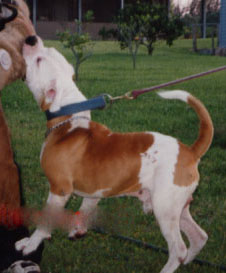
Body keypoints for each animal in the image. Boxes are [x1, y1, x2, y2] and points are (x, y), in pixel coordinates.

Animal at [15, 36, 214, 272]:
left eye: (38, 60)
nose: (31, 39)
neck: (68, 118)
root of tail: (190, 151)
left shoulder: (59, 189)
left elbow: (45, 220)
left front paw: (32, 243)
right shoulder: (94, 192)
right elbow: (85, 209)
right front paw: (77, 230)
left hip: (164, 209)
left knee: (178, 249)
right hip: (177, 208)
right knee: (199, 236)